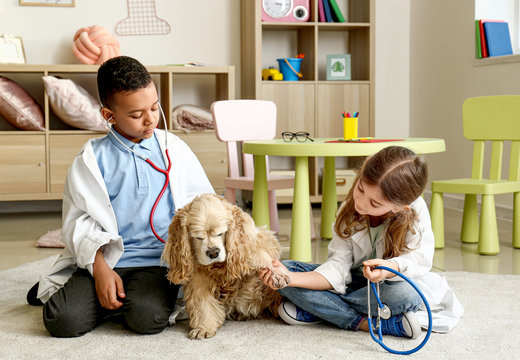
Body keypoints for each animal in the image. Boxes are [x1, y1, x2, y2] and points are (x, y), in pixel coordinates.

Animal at [164, 194, 288, 338]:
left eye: (220, 233)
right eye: (198, 237)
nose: (213, 252)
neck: (218, 266)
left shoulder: (254, 239)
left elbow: (259, 254)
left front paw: (277, 274)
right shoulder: (198, 280)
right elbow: (203, 304)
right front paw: (204, 328)